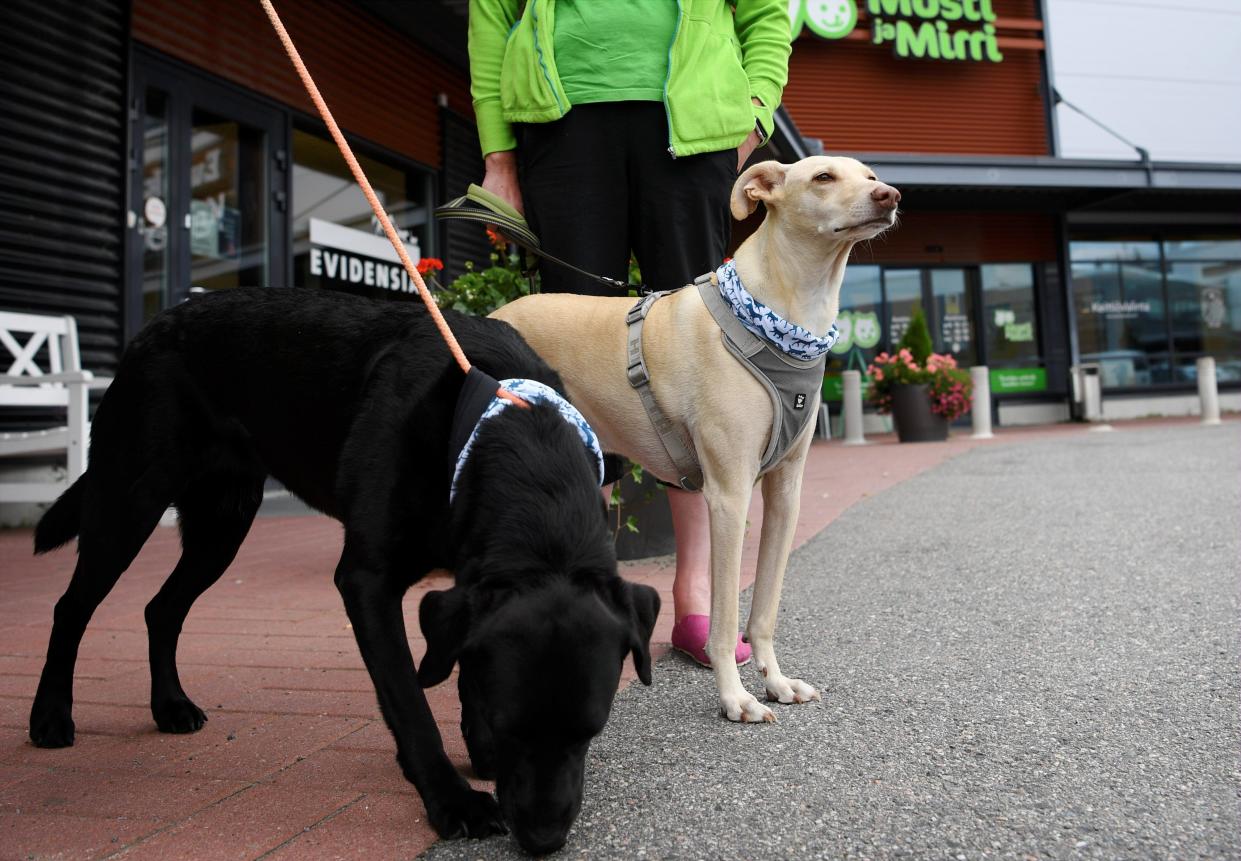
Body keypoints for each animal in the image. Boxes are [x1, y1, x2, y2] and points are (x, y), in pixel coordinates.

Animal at [29, 286, 660, 853]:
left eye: (592, 730)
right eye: (513, 728)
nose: (546, 840)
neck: (500, 418)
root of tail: (152, 327)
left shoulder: (466, 572)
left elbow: (460, 664)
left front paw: (476, 749)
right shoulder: (367, 580)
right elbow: (409, 698)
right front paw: (452, 800)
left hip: (222, 526)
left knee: (161, 607)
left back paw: (170, 706)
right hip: (129, 502)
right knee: (70, 607)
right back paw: (50, 716)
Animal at [488, 158, 898, 724]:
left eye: (870, 175)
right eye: (823, 178)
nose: (891, 196)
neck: (780, 319)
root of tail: (488, 317)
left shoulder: (785, 493)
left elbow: (764, 609)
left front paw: (776, 681)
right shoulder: (728, 496)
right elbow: (724, 620)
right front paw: (736, 697)